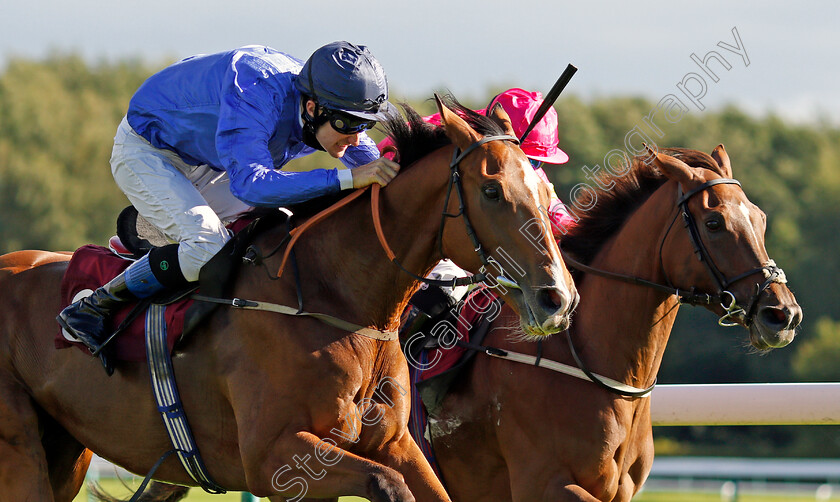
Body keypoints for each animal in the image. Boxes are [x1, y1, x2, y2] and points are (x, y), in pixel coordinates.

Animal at [0, 96, 576, 500]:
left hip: (65, 450)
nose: (558, 299)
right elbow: (387, 485)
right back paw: (85, 314)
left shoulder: (393, 443)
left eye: (547, 195)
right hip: (21, 454)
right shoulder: (276, 459)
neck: (338, 299)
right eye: (492, 192)